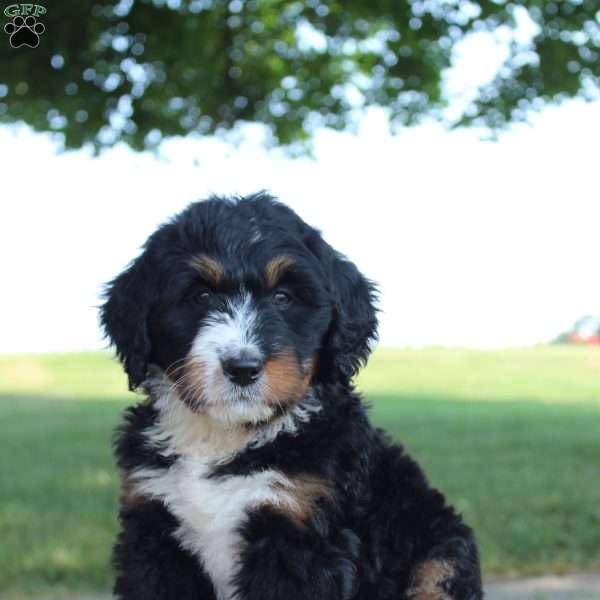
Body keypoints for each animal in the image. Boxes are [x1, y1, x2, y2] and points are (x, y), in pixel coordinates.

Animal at [99, 193, 482, 600]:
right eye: (201, 296)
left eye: (284, 297)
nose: (243, 367)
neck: (223, 438)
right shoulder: (152, 527)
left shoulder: (299, 530)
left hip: (439, 556)